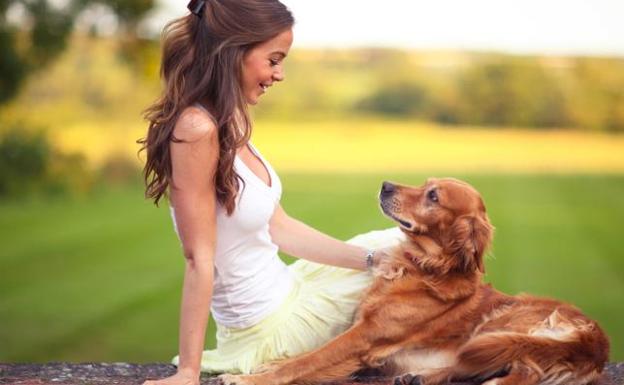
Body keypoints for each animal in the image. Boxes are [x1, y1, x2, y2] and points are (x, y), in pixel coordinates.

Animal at [219, 177, 608, 384]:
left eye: (433, 196)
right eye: (425, 183)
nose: (385, 184)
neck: (421, 266)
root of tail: (596, 339)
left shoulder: (365, 336)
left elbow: (309, 360)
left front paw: (249, 378)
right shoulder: (360, 329)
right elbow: (306, 356)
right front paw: (268, 367)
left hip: (502, 324)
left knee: (525, 371)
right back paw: (419, 376)